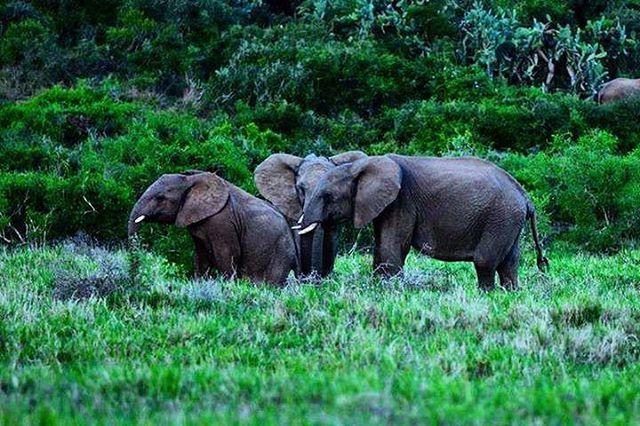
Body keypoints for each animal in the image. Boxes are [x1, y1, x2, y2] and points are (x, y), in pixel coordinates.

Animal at [127, 171, 298, 286]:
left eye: (160, 198)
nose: (135, 274)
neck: (191, 180)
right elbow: (201, 257)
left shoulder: (222, 222)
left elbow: (227, 255)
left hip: (280, 252)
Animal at [298, 155, 548, 292]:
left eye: (328, 196)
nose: (314, 284)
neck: (362, 165)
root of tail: (525, 196)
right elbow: (382, 246)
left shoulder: (401, 201)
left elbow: (392, 246)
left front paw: (389, 291)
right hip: (509, 220)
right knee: (509, 263)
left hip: (500, 217)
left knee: (485, 262)